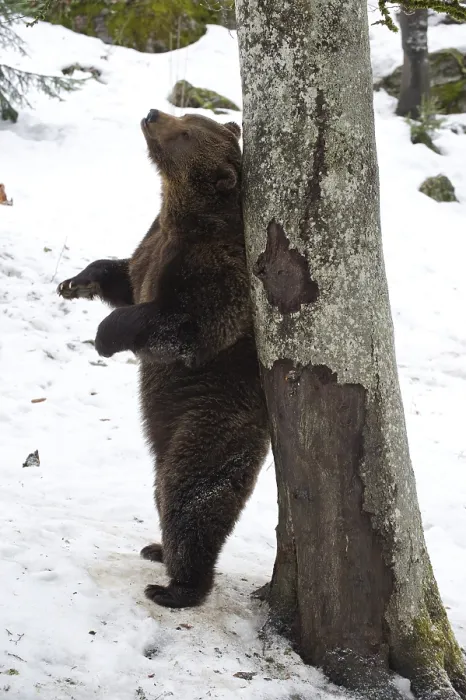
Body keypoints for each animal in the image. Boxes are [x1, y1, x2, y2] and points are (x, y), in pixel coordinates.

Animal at [57, 109, 270, 609]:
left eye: (187, 130)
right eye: (191, 116)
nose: (153, 113)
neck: (180, 215)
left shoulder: (218, 267)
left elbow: (187, 322)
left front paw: (104, 337)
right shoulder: (150, 244)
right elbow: (122, 274)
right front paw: (76, 282)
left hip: (211, 420)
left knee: (189, 492)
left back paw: (177, 586)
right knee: (160, 487)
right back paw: (156, 549)